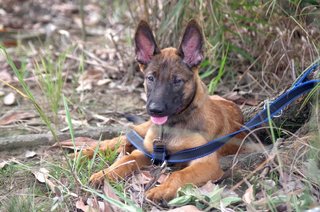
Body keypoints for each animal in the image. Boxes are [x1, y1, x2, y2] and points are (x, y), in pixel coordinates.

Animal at [63, 19, 248, 202]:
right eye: (150, 78)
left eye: (177, 81)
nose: (155, 110)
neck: (171, 128)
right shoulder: (147, 151)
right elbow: (127, 159)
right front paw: (105, 173)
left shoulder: (207, 163)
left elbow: (179, 175)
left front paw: (163, 189)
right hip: (143, 129)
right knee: (119, 139)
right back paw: (83, 154)